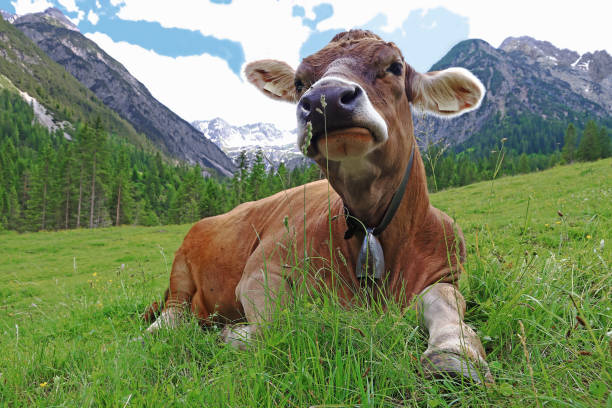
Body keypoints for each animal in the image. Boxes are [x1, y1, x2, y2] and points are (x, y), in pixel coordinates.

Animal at [146, 30, 494, 384]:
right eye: (300, 82)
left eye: (395, 66)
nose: (325, 98)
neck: (372, 228)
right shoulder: (262, 270)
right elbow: (277, 322)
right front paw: (230, 333)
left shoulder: (446, 270)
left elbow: (446, 300)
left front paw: (454, 352)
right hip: (180, 270)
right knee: (172, 314)